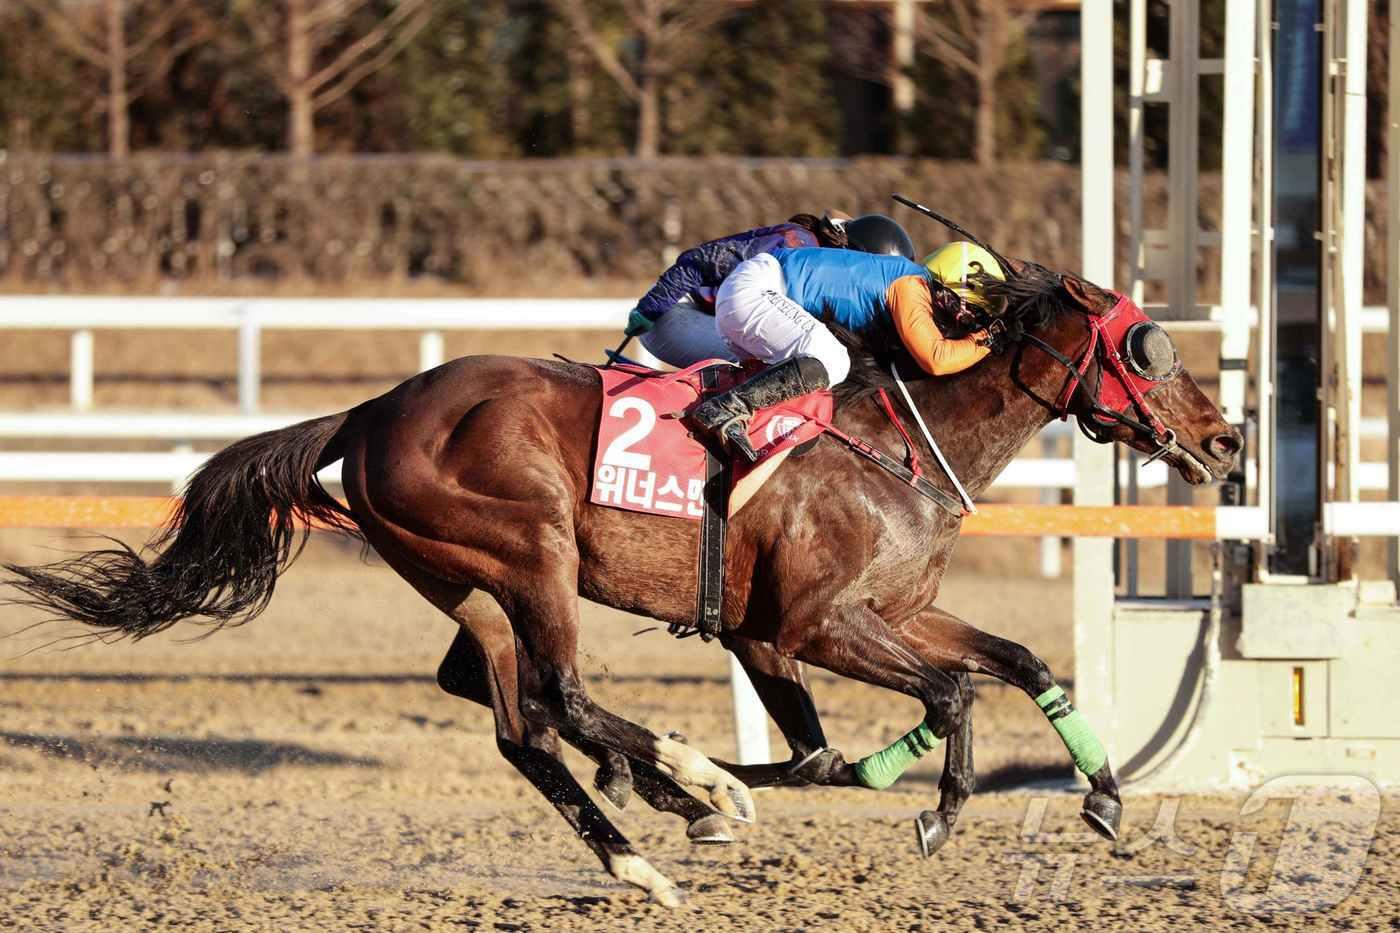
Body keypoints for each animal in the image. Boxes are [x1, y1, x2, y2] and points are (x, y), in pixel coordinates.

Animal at [8, 256, 1237, 902]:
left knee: (515, 718)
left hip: (467, 583)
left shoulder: (891, 611)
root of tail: (372, 409)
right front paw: (923, 804)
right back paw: (683, 786)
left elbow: (1001, 665)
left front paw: (1103, 792)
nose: (1225, 442)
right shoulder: (804, 626)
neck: (895, 440)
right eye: (1150, 349)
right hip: (534, 553)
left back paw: (643, 845)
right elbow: (938, 698)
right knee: (558, 696)